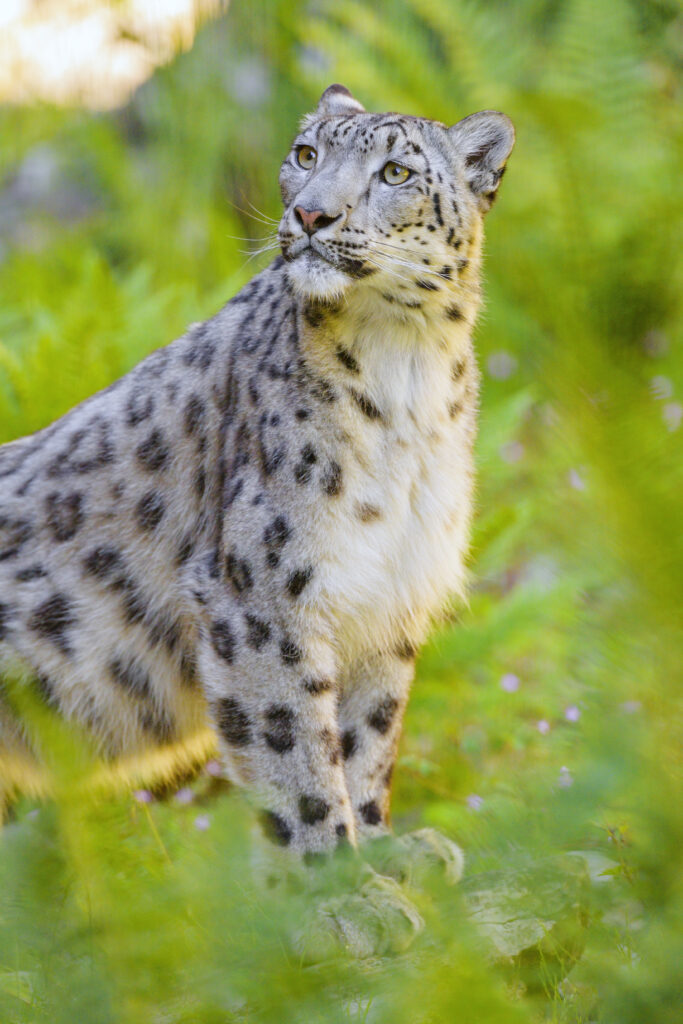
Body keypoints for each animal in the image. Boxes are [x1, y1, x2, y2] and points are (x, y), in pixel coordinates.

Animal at [0, 83, 514, 952]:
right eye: (306, 155)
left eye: (396, 171)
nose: (311, 213)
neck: (405, 370)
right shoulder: (265, 593)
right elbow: (295, 750)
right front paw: (342, 896)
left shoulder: (387, 595)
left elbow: (364, 740)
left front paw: (388, 854)